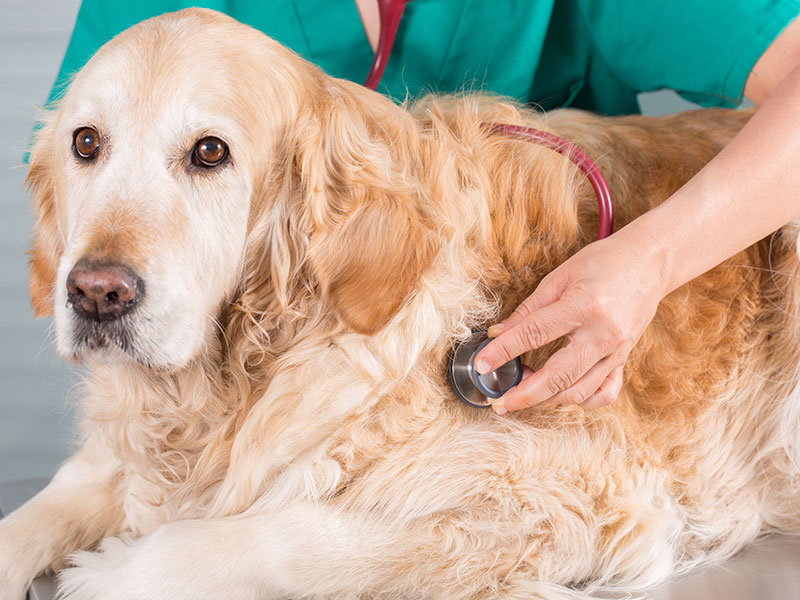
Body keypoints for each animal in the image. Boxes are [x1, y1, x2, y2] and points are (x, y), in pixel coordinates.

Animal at [1, 8, 800, 600]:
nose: (96, 294)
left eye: (209, 152)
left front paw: (114, 573)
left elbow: (285, 537)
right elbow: (42, 509)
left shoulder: (565, 493)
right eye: (85, 143)